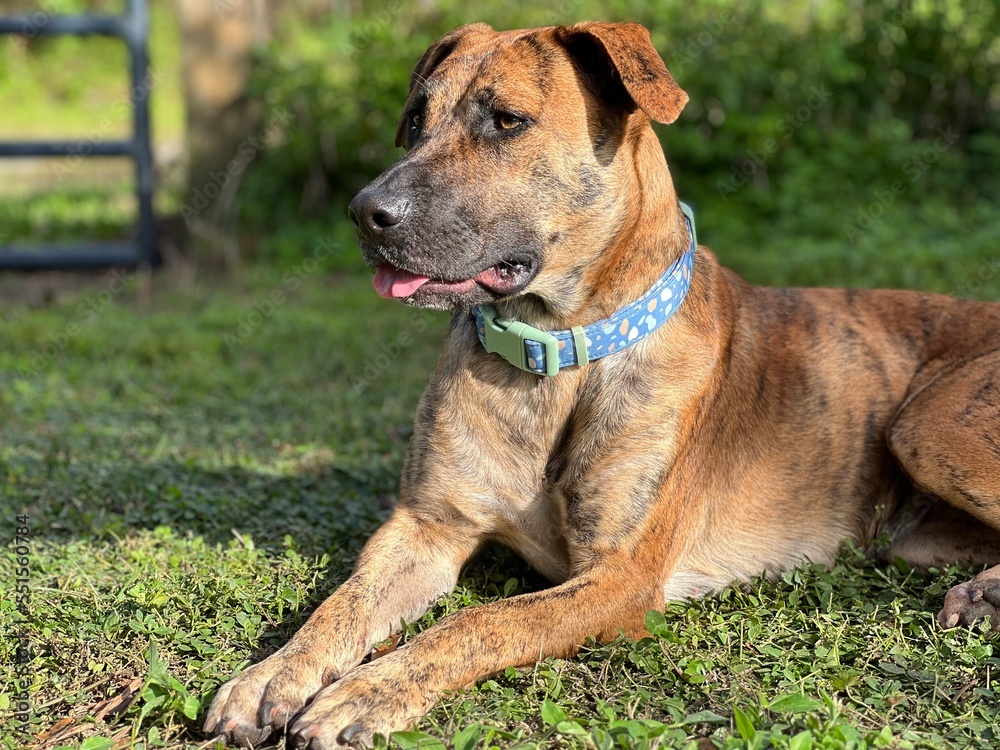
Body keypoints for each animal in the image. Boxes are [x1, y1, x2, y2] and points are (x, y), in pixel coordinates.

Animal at [203, 20, 1000, 748]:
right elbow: (342, 603)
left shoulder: (617, 580)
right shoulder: (426, 526)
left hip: (928, 424)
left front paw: (367, 693)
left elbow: (478, 622)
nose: (366, 214)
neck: (557, 355)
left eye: (507, 121)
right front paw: (273, 674)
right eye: (416, 120)